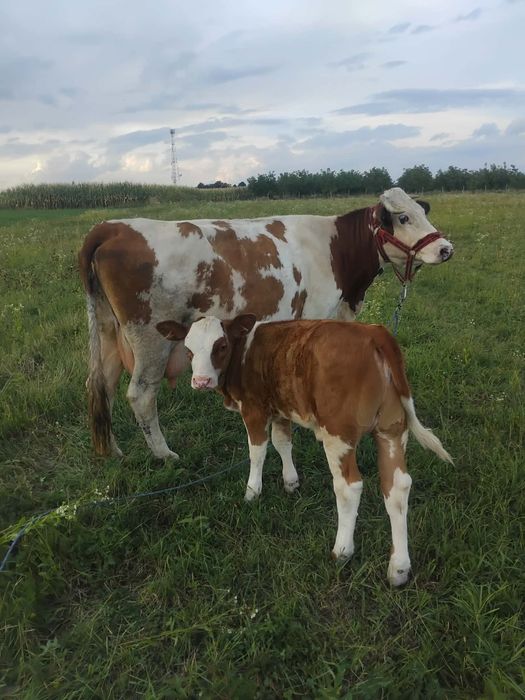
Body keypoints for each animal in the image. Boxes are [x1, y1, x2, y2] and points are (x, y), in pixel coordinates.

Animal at [78, 187, 453, 460]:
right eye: (403, 217)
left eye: (424, 213)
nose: (446, 249)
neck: (335, 249)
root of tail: (112, 227)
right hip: (150, 338)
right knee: (140, 394)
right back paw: (164, 455)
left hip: (109, 331)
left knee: (102, 386)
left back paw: (113, 450)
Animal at [156, 314, 453, 586]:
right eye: (188, 349)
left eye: (221, 346)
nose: (201, 381)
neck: (244, 354)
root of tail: (373, 332)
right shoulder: (280, 408)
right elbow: (282, 442)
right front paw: (290, 481)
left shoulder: (254, 410)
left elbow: (258, 451)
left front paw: (252, 491)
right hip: (391, 430)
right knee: (397, 487)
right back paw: (399, 568)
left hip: (338, 433)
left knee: (349, 486)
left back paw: (342, 550)